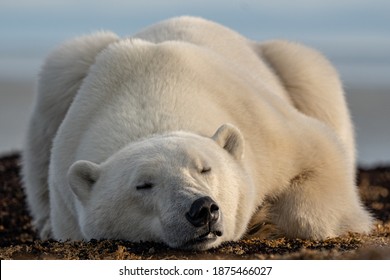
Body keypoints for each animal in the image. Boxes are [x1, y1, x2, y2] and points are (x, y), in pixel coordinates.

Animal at [22, 16, 374, 250]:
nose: (202, 209)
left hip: (286, 65)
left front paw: (264, 219)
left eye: (205, 168)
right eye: (143, 185)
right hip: (69, 73)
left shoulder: (262, 122)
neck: (154, 99)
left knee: (309, 72)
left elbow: (321, 153)